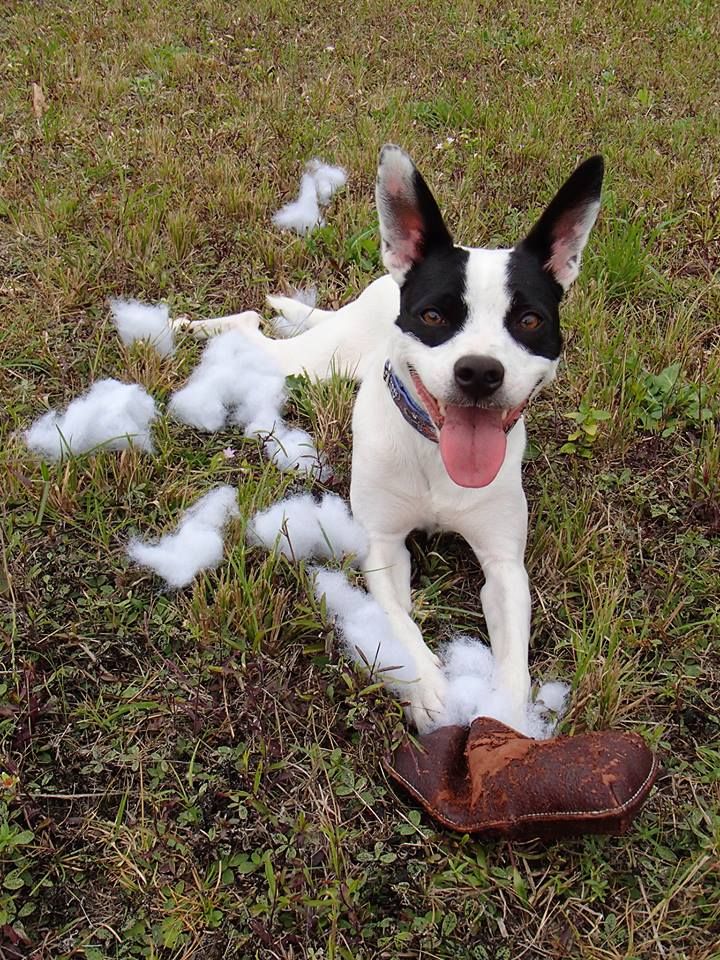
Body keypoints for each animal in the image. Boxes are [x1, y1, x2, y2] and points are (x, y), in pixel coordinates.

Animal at [183, 145, 604, 732]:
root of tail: (384, 283)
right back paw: (189, 327)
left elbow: (515, 661)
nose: (479, 372)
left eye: (529, 321)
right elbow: (398, 621)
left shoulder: (504, 564)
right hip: (314, 362)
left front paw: (507, 717)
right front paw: (429, 689)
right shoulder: (382, 544)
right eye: (433, 315)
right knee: (251, 328)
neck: (434, 453)